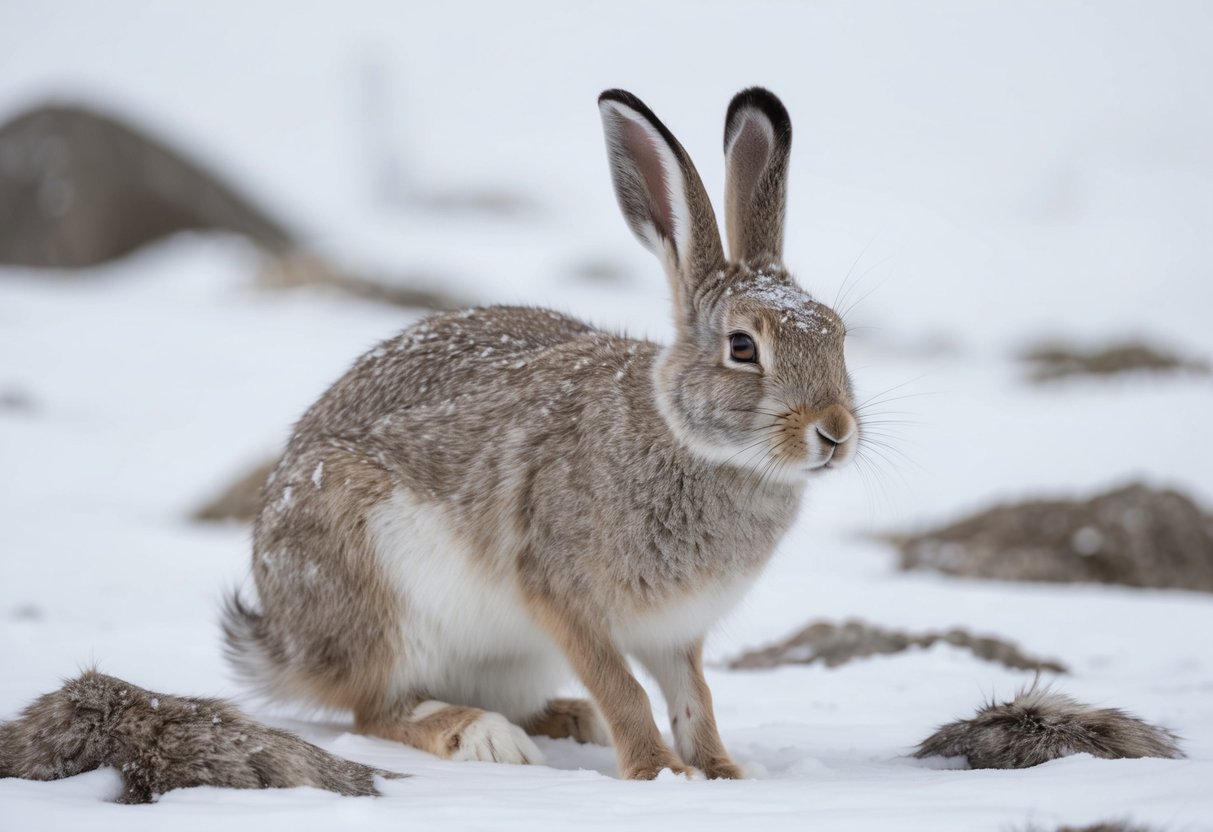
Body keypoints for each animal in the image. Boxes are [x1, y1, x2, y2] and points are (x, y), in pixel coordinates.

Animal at [224, 87, 861, 781]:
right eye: (743, 347)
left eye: (837, 334)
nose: (836, 431)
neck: (691, 444)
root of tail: (286, 644)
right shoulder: (563, 596)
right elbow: (623, 687)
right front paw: (659, 773)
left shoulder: (674, 632)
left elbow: (695, 697)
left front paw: (722, 773)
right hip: (383, 596)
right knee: (377, 710)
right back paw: (483, 736)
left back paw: (572, 721)